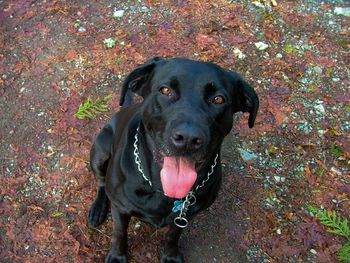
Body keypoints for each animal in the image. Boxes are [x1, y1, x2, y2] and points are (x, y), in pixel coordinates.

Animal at [87, 56, 258, 262]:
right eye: (165, 90)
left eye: (218, 99)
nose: (188, 138)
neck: (162, 190)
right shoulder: (120, 208)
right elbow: (120, 233)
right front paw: (117, 256)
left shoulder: (184, 216)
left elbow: (172, 235)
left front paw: (170, 255)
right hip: (100, 152)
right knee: (101, 182)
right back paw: (97, 208)